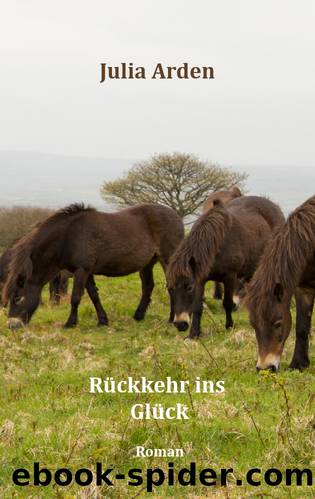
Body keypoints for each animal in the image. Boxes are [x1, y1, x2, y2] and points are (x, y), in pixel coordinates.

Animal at [2, 203, 184, 328]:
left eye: (18, 298)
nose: (12, 325)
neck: (69, 236)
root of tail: (176, 216)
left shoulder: (81, 270)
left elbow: (76, 297)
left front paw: (70, 322)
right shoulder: (87, 272)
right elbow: (93, 295)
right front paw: (102, 320)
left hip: (167, 259)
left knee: (172, 286)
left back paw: (171, 319)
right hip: (147, 263)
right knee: (148, 287)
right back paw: (138, 316)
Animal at [168, 197, 284, 338]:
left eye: (189, 287)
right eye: (170, 288)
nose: (180, 324)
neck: (217, 245)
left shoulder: (230, 277)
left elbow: (227, 303)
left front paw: (229, 326)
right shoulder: (200, 279)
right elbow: (197, 307)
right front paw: (194, 334)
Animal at [246, 195, 315, 372]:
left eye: (278, 323)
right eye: (254, 325)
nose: (265, 368)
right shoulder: (303, 290)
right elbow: (301, 327)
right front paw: (298, 364)